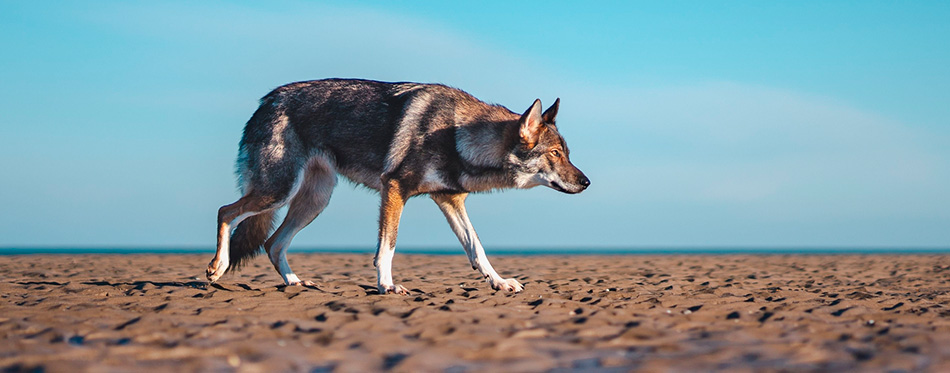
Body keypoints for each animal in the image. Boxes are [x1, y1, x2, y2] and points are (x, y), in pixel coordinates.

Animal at [208, 78, 588, 294]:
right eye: (555, 153)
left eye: (567, 153)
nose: (586, 182)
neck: (457, 135)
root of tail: (266, 100)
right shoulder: (394, 189)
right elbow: (387, 247)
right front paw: (387, 285)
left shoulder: (450, 201)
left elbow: (476, 249)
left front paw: (499, 282)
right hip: (278, 191)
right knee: (226, 212)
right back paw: (217, 268)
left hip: (314, 200)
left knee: (272, 243)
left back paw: (294, 283)